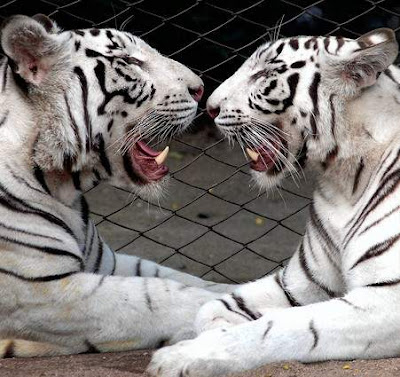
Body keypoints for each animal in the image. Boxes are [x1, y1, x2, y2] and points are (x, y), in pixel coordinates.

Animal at [0, 13, 234, 356]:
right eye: (129, 61)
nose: (200, 89)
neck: (63, 188)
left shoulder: (104, 263)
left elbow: (181, 278)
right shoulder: (43, 292)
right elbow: (158, 295)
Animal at [148, 27, 400, 374]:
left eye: (265, 73)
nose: (209, 107)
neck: (345, 181)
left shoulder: (389, 295)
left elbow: (287, 326)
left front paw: (181, 357)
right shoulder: (299, 281)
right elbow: (212, 309)